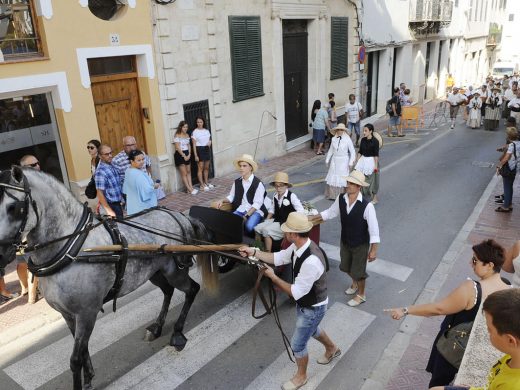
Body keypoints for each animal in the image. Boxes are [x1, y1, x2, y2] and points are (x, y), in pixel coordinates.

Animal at [0, 167, 217, 390]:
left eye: (13, 207)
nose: (0, 254)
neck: (72, 248)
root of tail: (180, 216)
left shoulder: (87, 312)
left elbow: (75, 359)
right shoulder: (68, 315)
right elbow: (83, 351)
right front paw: (88, 378)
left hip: (176, 272)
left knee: (192, 289)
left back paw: (177, 333)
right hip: (156, 273)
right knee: (168, 291)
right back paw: (157, 327)